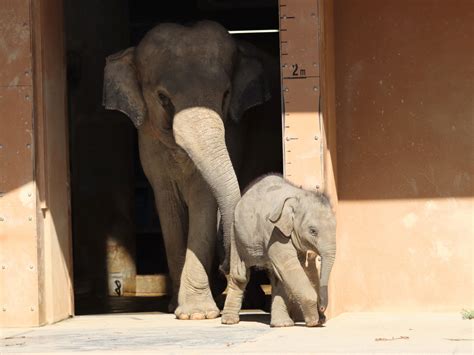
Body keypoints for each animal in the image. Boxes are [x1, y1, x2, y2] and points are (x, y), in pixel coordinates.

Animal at [102, 21, 276, 322]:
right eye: (162, 98)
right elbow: (167, 205)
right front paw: (176, 307)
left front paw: (197, 314)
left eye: (226, 95)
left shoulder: (234, 130)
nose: (224, 266)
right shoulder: (149, 141)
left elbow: (202, 198)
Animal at [220, 175, 336, 328]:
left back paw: (282, 324)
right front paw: (313, 322)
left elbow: (288, 272)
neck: (298, 196)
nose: (322, 310)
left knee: (276, 278)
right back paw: (229, 321)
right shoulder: (274, 231)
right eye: (313, 231)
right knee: (240, 276)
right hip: (235, 235)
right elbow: (289, 267)